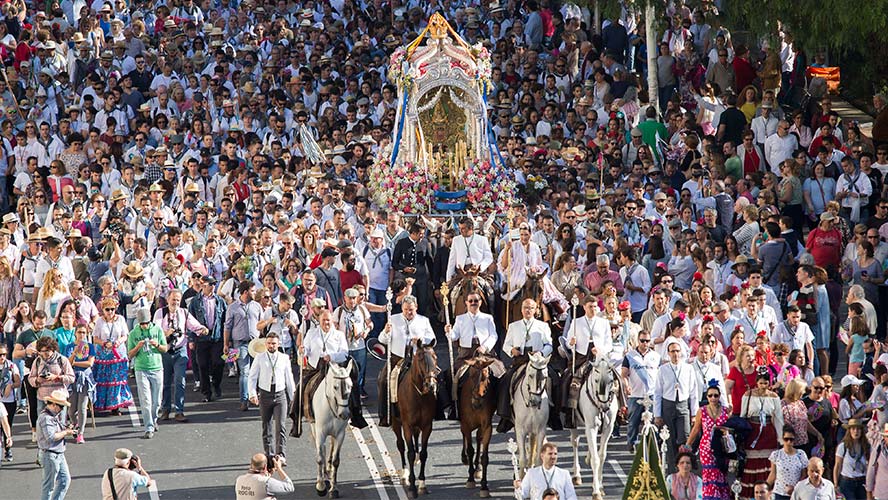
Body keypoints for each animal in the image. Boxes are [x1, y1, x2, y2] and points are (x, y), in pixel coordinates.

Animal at [312, 360, 354, 496]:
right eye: (335, 387)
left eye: (351, 386)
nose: (344, 414)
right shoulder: (320, 432)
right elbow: (320, 458)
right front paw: (320, 487)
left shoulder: (340, 434)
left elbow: (336, 460)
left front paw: (334, 488)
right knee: (322, 449)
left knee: (330, 446)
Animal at [394, 346, 438, 498]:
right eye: (420, 359)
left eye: (435, 357)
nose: (431, 385)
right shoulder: (407, 425)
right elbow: (410, 453)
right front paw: (412, 487)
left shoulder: (427, 426)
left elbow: (424, 453)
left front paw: (422, 484)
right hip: (396, 423)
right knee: (401, 445)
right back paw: (404, 474)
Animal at [568, 360, 616, 500]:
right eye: (596, 380)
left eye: (611, 381)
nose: (605, 406)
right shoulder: (591, 428)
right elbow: (596, 459)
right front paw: (596, 492)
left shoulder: (608, 428)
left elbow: (602, 455)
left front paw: (599, 485)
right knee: (575, 442)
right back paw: (577, 475)